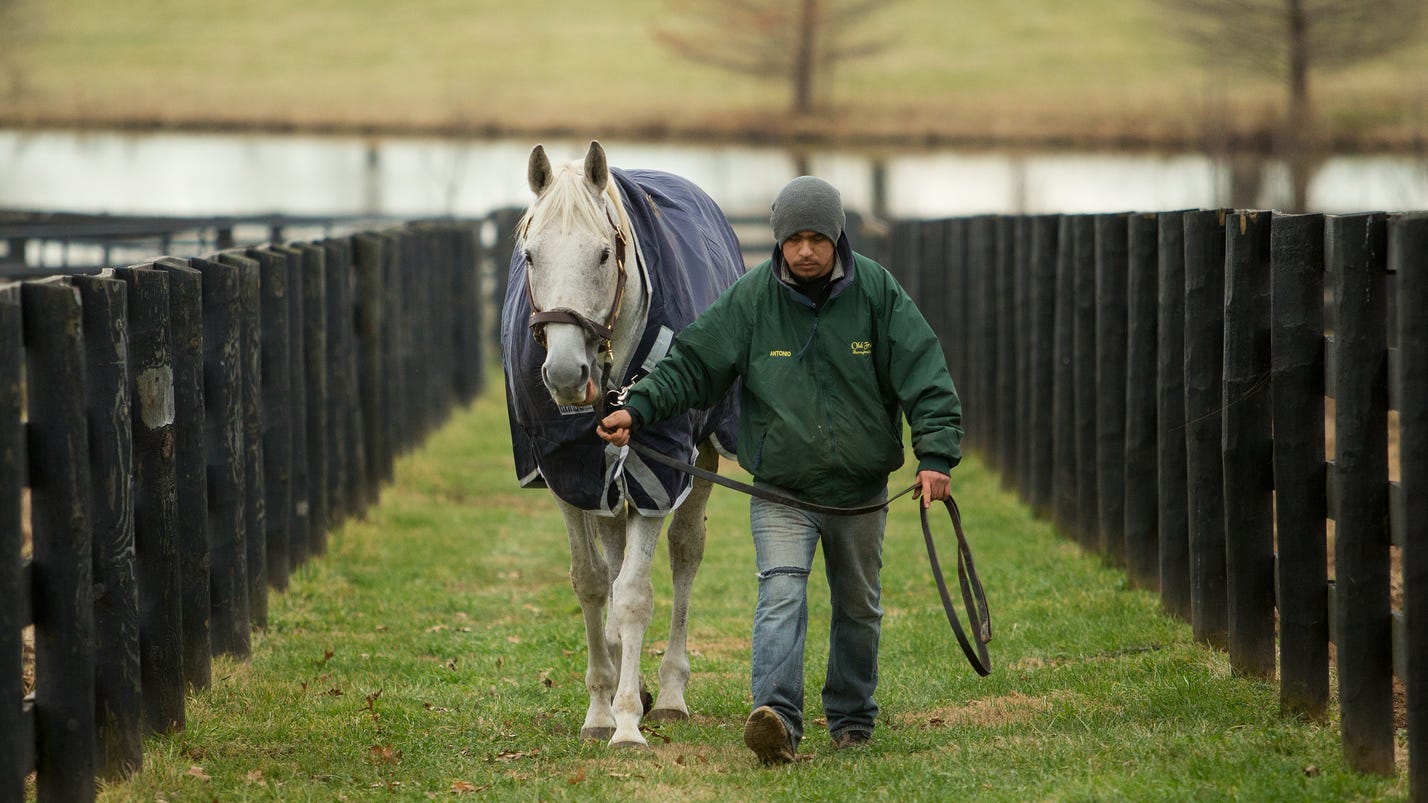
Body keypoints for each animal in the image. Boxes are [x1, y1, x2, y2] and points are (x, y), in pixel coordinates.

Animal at [500, 141, 743, 748]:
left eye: (604, 255)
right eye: (530, 255)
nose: (566, 373)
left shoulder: (661, 472)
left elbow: (634, 595)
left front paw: (629, 720)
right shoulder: (569, 472)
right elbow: (591, 583)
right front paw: (600, 708)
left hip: (698, 457)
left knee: (685, 553)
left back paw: (671, 694)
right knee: (612, 555)